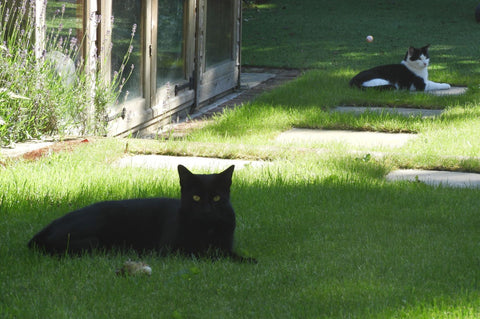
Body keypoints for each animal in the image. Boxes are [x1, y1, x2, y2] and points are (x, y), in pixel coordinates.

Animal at [27, 166, 255, 264]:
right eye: (196, 197)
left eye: (216, 198)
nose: (207, 210)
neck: (206, 229)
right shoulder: (172, 250)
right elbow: (207, 254)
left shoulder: (225, 244)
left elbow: (227, 252)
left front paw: (247, 260)